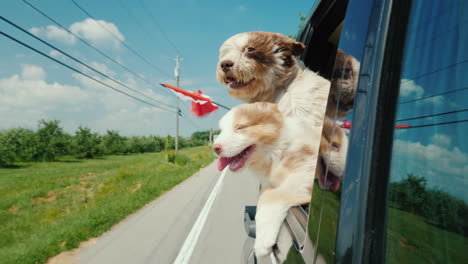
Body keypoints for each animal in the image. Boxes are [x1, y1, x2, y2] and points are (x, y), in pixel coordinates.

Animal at [213, 103, 348, 260]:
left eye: (240, 127)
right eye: (222, 130)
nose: (215, 148)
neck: (279, 148)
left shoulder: (304, 176)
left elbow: (269, 196)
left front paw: (262, 243)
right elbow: (265, 193)